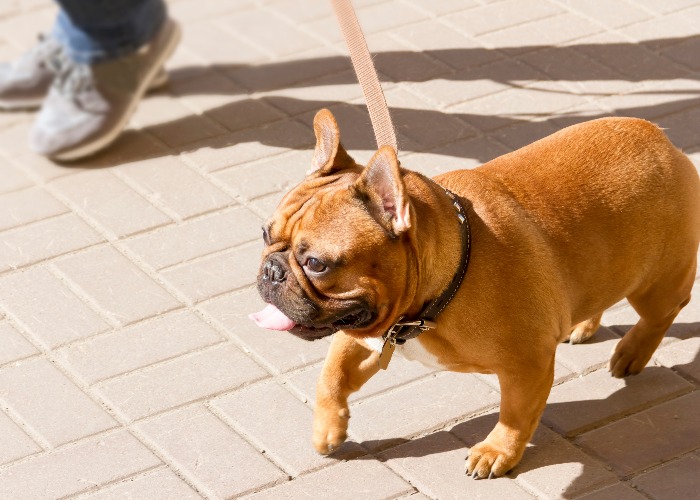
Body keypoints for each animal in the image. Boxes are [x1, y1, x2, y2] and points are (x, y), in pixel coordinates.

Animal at [249, 108, 696, 476]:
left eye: (316, 263)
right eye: (266, 234)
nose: (271, 270)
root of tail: (664, 141)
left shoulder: (527, 365)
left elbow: (515, 415)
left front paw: (498, 451)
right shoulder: (368, 333)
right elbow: (332, 375)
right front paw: (328, 430)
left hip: (656, 282)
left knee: (663, 312)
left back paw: (633, 352)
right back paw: (584, 324)